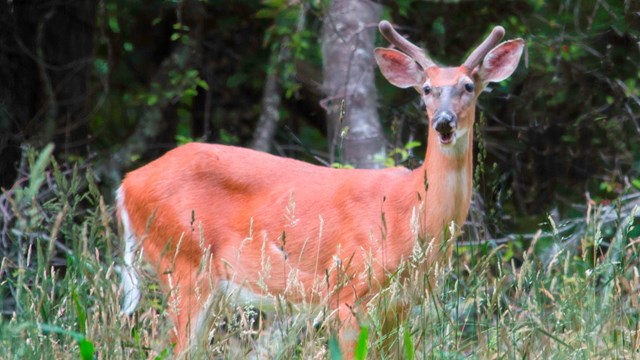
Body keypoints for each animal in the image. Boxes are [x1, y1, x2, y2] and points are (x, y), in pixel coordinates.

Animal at [117, 20, 524, 358]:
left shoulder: (400, 305)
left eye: (468, 86)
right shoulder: (348, 292)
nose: (443, 122)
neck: (411, 211)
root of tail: (127, 184)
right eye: (426, 89)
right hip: (183, 262)